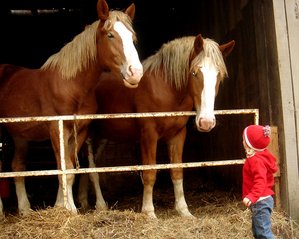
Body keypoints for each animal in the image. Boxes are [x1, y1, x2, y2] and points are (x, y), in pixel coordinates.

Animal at [0, 0, 144, 215]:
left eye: (132, 37)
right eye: (110, 35)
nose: (136, 73)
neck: (71, 86)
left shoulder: (81, 130)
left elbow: (68, 169)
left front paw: (61, 205)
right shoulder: (56, 128)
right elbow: (64, 167)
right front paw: (70, 209)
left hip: (20, 135)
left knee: (17, 166)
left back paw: (25, 209)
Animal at [80, 34, 237, 218]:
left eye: (220, 76)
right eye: (194, 73)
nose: (206, 122)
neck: (165, 89)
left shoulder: (178, 134)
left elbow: (177, 171)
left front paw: (184, 210)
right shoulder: (149, 135)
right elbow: (150, 173)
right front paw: (149, 211)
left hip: (102, 137)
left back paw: (83, 201)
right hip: (88, 135)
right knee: (92, 170)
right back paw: (100, 205)